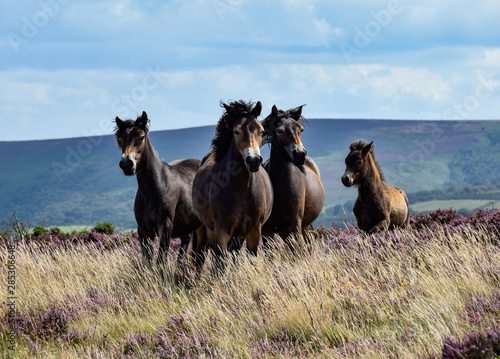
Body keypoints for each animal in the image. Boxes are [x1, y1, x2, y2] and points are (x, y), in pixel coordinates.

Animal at [115, 112, 203, 268]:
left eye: (141, 137)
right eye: (120, 139)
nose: (127, 164)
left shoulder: (165, 227)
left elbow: (161, 260)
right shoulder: (144, 230)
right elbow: (147, 260)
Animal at [192, 100, 274, 272]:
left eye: (261, 131)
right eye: (236, 132)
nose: (253, 161)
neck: (241, 191)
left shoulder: (253, 232)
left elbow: (250, 258)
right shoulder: (221, 232)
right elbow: (220, 264)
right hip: (204, 230)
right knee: (201, 258)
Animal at [260, 104, 326, 245]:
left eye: (301, 130)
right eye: (279, 131)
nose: (300, 154)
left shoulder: (294, 227)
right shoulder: (266, 231)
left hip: (304, 227)